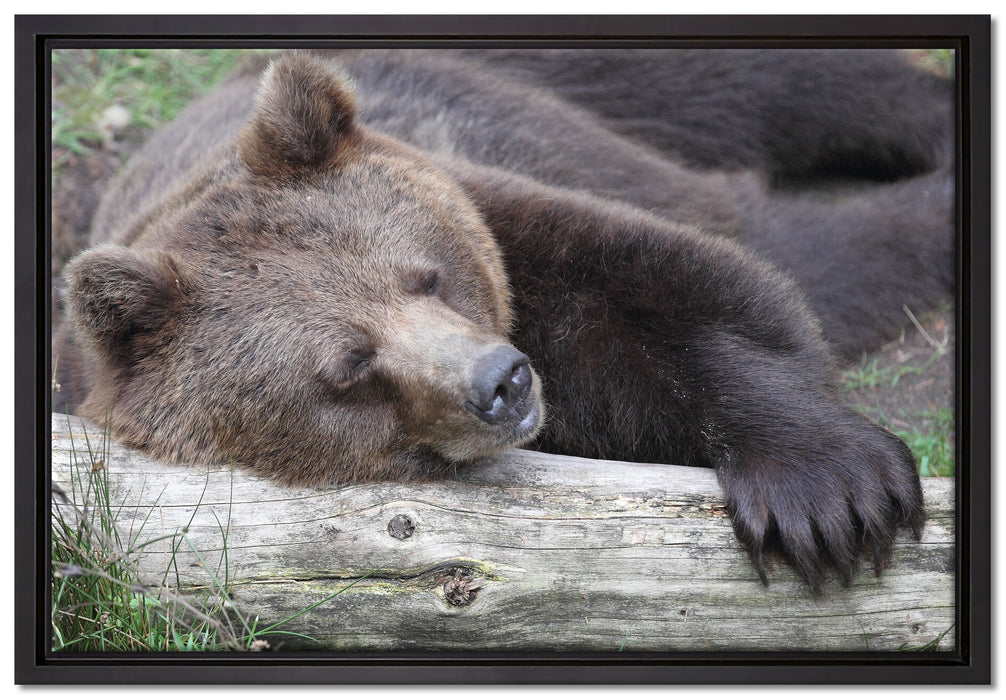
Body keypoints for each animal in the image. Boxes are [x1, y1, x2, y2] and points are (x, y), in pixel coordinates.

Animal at [53, 49, 954, 592]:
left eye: (426, 274)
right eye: (350, 365)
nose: (502, 382)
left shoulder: (510, 214)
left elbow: (701, 289)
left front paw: (829, 491)